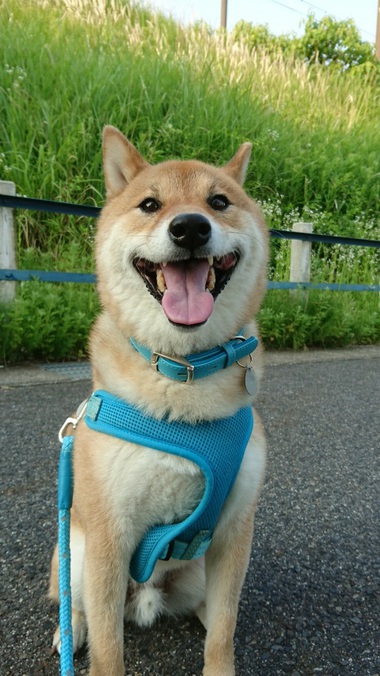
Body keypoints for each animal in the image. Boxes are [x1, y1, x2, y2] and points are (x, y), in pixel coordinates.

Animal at [49, 128, 268, 676]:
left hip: (196, 570)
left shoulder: (233, 531)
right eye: (150, 204)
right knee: (72, 599)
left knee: (211, 610)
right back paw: (71, 629)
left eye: (219, 202)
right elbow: (109, 650)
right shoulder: (108, 538)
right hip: (74, 551)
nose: (190, 227)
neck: (182, 375)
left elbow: (225, 631)